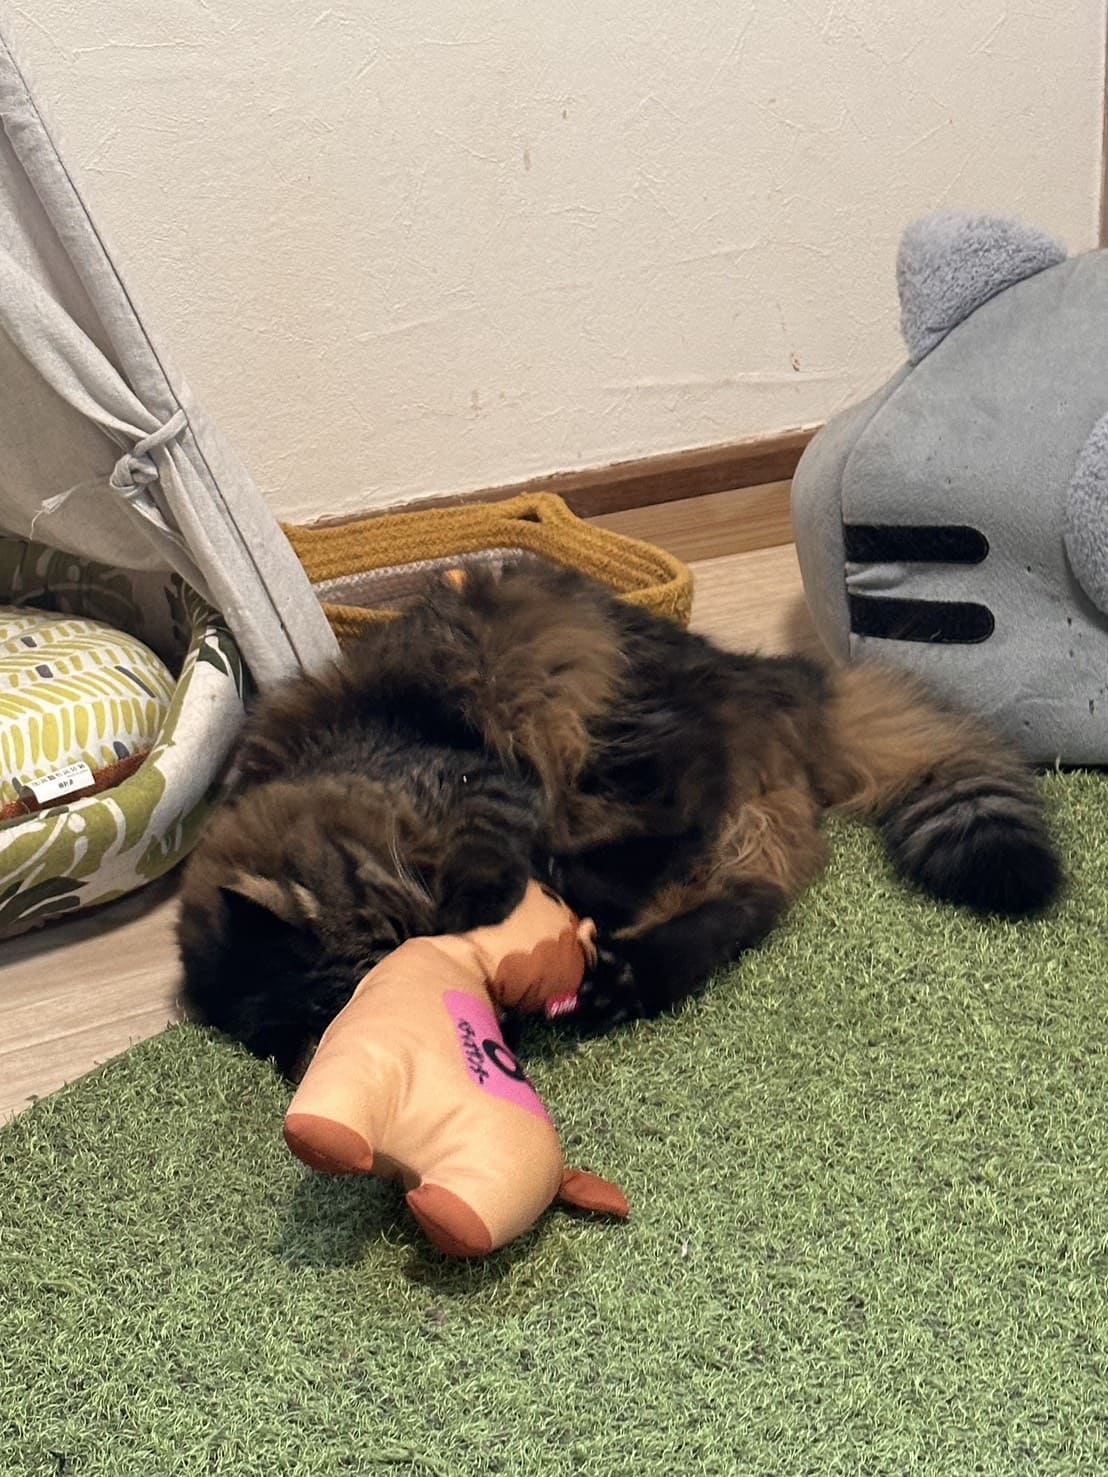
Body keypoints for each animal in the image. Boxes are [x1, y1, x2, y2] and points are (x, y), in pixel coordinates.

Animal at [177, 558, 1061, 1077]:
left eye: (401, 939)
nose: (453, 951)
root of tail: (774, 676)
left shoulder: (476, 784)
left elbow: (491, 856)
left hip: (606, 719)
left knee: (682, 812)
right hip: (722, 823)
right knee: (740, 902)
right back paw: (624, 972)